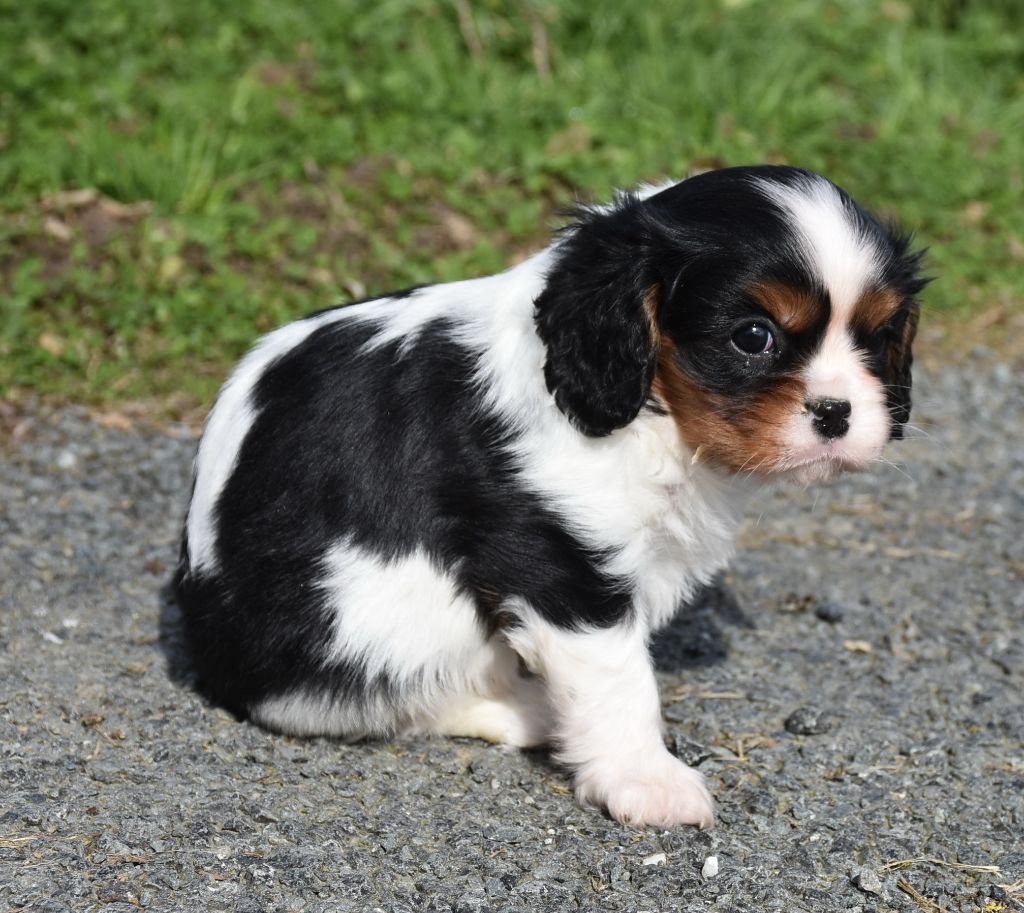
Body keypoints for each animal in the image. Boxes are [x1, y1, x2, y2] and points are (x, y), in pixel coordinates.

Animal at [176, 163, 929, 827]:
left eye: (878, 337)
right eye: (753, 337)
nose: (836, 413)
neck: (654, 412)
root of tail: (214, 656)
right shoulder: (558, 557)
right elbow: (618, 677)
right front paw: (646, 778)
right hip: (387, 610)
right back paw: (530, 709)